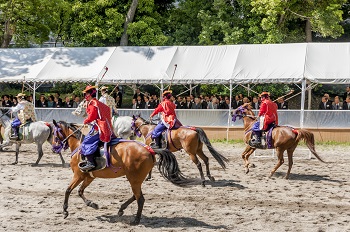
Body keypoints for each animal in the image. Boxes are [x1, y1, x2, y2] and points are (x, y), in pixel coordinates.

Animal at [52, 119, 196, 225]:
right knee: (136, 195)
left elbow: (68, 190)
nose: (54, 148)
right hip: (134, 179)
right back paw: (122, 209)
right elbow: (80, 191)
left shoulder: (78, 175)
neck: (79, 146)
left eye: (54, 133)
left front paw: (65, 211)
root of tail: (149, 149)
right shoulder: (88, 177)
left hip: (134, 179)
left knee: (140, 198)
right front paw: (92, 204)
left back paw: (136, 220)